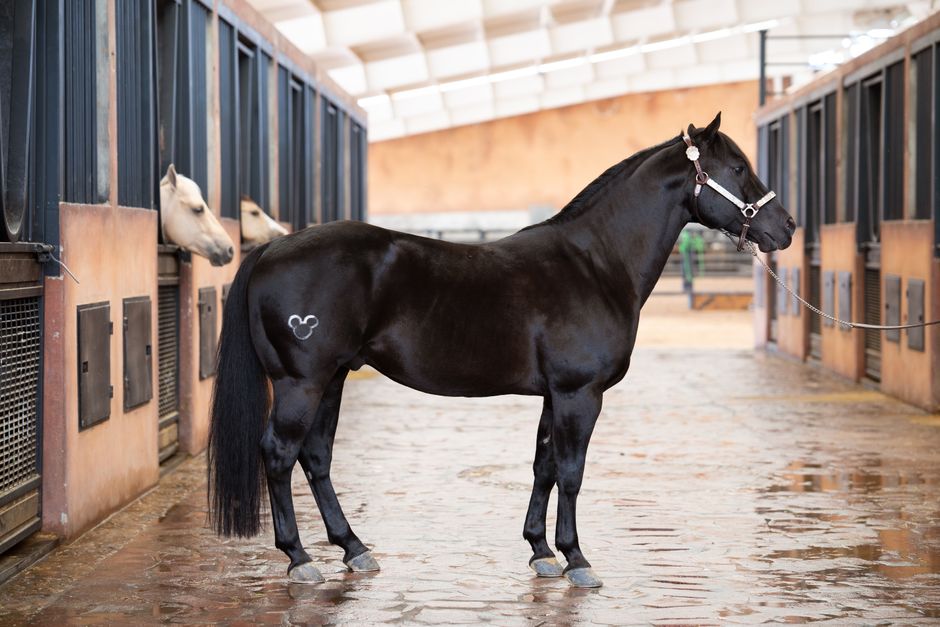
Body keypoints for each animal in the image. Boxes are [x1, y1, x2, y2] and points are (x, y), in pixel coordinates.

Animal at [207, 114, 795, 588]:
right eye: (738, 168)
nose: (786, 227)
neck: (595, 264)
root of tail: (272, 249)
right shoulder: (580, 394)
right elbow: (572, 472)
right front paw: (578, 559)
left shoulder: (555, 396)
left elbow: (544, 466)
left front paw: (541, 552)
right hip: (300, 383)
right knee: (279, 455)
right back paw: (299, 558)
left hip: (332, 379)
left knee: (316, 458)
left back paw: (354, 549)